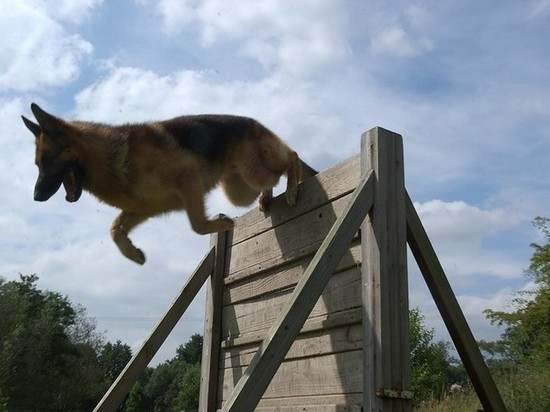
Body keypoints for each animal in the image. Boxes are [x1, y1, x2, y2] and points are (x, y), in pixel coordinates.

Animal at [22, 103, 314, 264]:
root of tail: (255, 122)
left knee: (292, 156)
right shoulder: (144, 210)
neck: (108, 157)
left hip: (252, 172)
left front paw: (222, 223)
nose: (36, 196)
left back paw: (291, 189)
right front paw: (133, 254)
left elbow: (197, 225)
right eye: (37, 165)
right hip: (239, 190)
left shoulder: (188, 180)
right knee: (273, 175)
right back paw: (267, 197)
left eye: (48, 160)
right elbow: (115, 229)